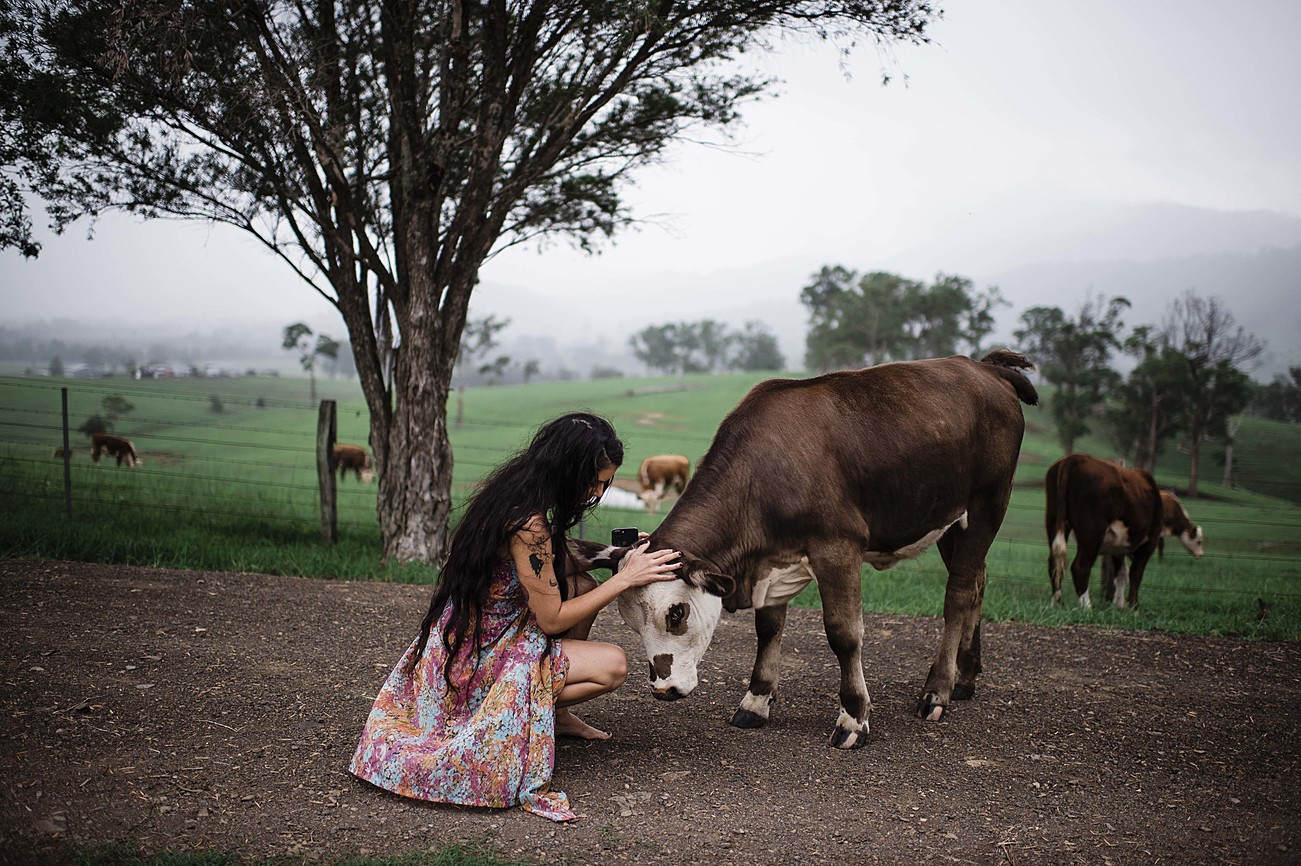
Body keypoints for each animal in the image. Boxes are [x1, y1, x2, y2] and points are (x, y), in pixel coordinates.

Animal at [569, 348, 1035, 743]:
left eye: (676, 613)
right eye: (631, 624)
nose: (663, 690)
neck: (763, 475)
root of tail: (982, 367)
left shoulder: (838, 550)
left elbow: (844, 634)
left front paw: (853, 717)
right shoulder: (771, 560)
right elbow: (768, 628)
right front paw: (756, 700)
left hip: (988, 505)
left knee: (959, 593)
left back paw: (937, 690)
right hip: (950, 520)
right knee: (977, 583)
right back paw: (965, 678)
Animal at [1040, 452, 1202, 605]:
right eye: (1200, 541)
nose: (1200, 554)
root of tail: (1073, 459)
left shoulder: (1118, 547)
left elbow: (1122, 574)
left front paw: (1119, 603)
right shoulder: (1149, 541)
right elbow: (1136, 573)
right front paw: (1133, 607)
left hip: (1054, 521)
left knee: (1054, 563)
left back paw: (1056, 602)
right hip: (1092, 534)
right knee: (1080, 567)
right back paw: (1086, 607)